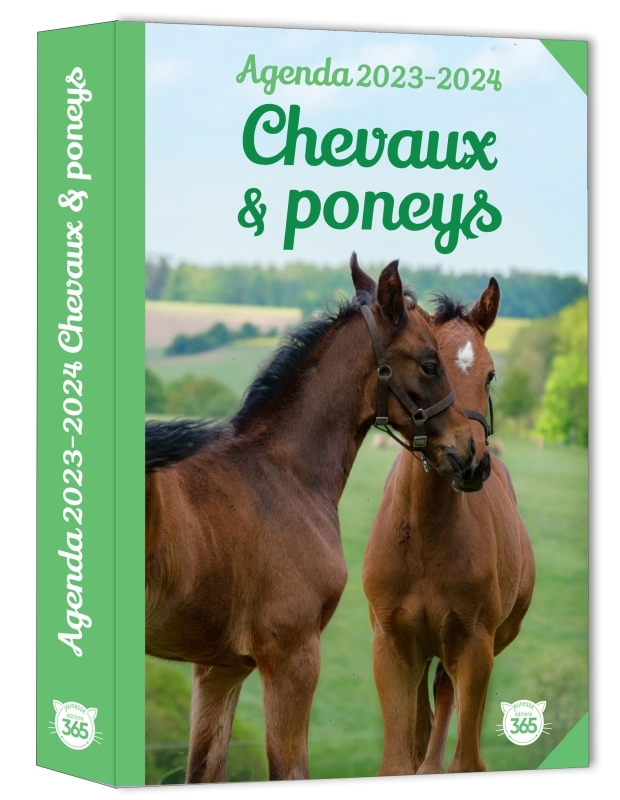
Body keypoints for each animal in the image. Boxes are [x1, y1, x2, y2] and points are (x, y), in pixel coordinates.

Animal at [144, 255, 477, 783]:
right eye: (430, 363)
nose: (468, 450)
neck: (288, 473)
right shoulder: (293, 657)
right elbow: (290, 770)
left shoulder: (219, 669)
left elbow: (205, 770)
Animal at [362, 278, 535, 775]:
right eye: (428, 365)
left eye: (491, 374)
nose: (470, 461)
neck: (425, 538)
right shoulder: (391, 646)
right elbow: (398, 758)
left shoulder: (476, 648)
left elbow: (465, 759)